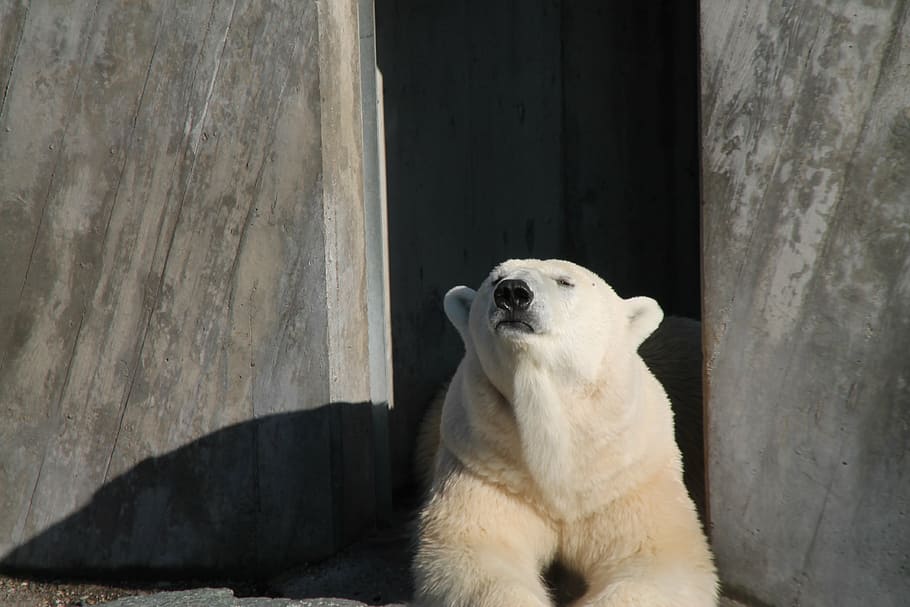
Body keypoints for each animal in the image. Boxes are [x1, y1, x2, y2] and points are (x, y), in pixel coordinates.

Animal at [413, 259, 717, 607]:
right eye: (495, 280)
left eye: (564, 282)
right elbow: (474, 552)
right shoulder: (486, 465)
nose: (513, 292)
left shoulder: (623, 480)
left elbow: (655, 560)